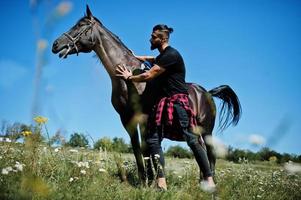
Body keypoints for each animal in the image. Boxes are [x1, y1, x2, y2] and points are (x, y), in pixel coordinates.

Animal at [52, 5, 241, 183]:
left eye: (80, 25)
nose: (55, 44)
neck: (130, 81)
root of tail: (207, 93)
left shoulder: (143, 118)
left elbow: (145, 150)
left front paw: (150, 181)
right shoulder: (126, 119)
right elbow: (137, 149)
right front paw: (144, 180)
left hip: (207, 131)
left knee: (209, 155)